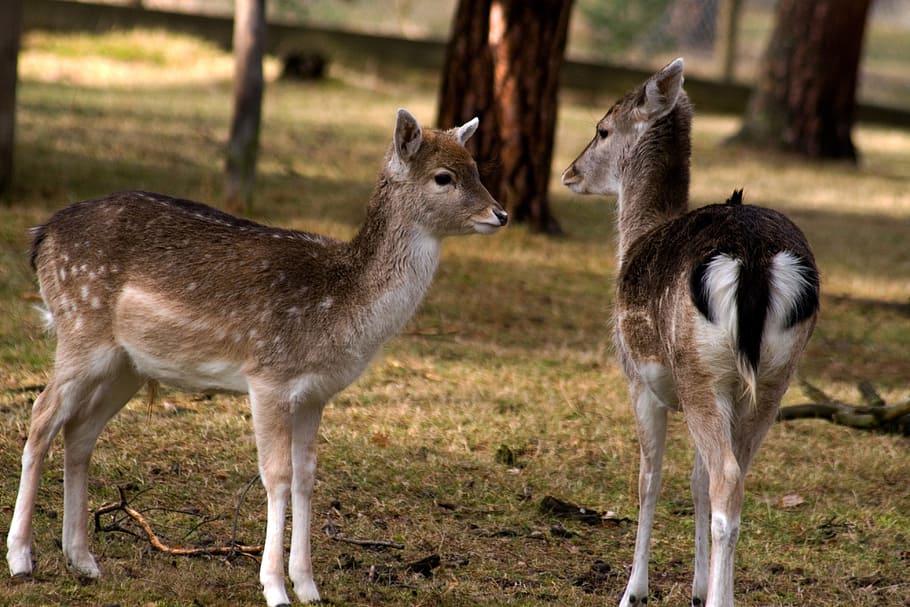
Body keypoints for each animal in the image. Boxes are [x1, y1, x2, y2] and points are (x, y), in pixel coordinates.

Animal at [6, 108, 507, 606]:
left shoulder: (315, 394)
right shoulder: (268, 376)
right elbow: (277, 476)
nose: (499, 213)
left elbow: (307, 476)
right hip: (80, 328)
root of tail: (41, 235)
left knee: (79, 431)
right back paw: (20, 559)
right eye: (443, 177)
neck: (341, 307)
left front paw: (309, 586)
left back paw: (83, 561)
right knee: (42, 414)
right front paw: (275, 588)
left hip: (125, 364)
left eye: (477, 168)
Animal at [561, 58, 819, 607]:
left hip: (698, 369)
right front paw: (698, 587)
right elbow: (696, 481)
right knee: (734, 478)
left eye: (602, 129)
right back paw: (724, 593)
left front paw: (633, 591)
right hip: (773, 378)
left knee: (724, 475)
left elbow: (649, 479)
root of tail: (754, 257)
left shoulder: (638, 379)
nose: (569, 172)